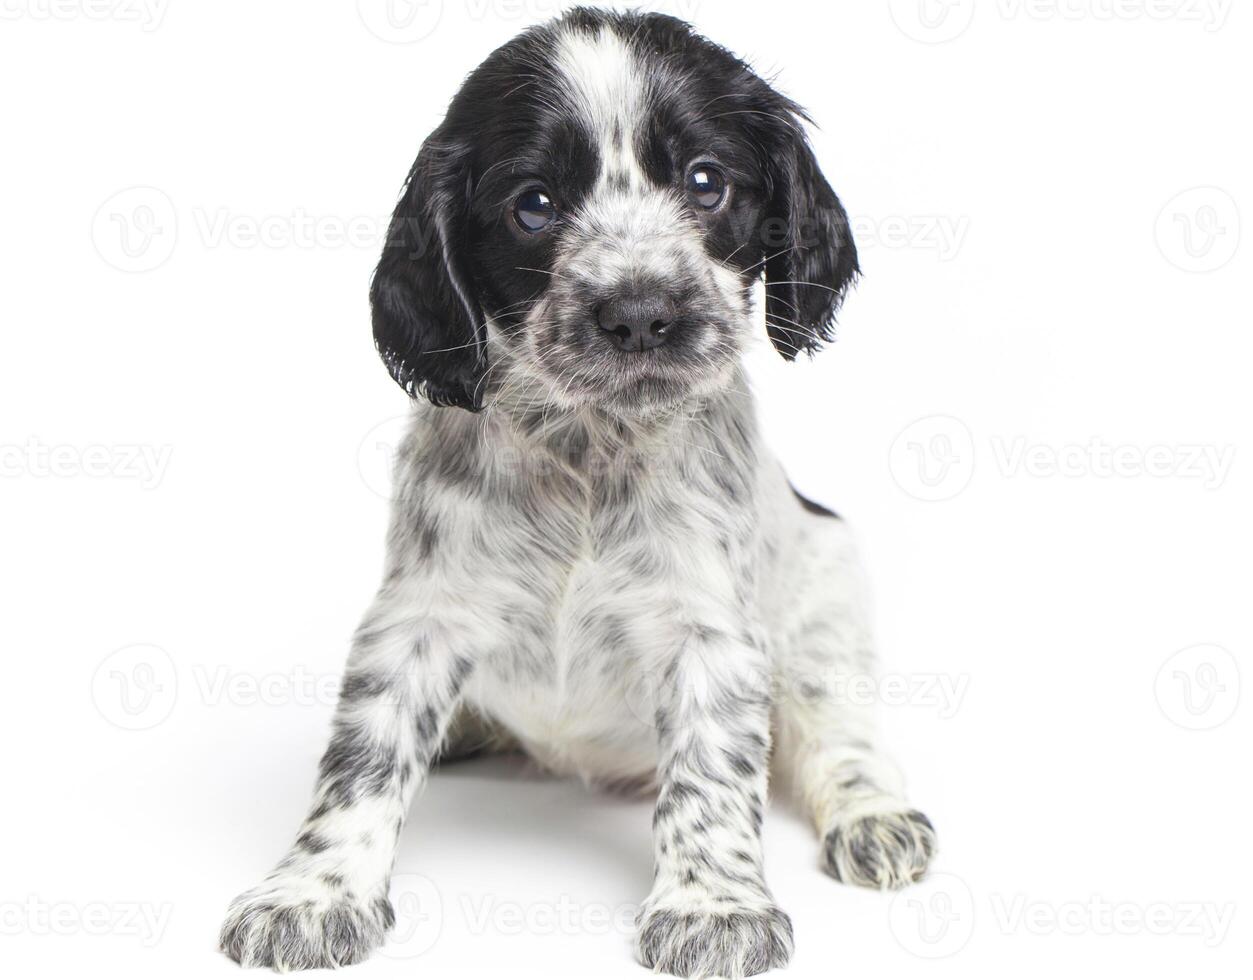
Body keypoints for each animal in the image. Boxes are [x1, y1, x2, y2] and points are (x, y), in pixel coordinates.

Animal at [220, 9, 937, 980]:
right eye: (534, 205)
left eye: (706, 182)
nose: (639, 314)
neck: (589, 450)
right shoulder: (416, 619)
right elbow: (362, 759)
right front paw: (313, 892)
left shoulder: (709, 633)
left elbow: (711, 776)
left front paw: (712, 908)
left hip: (829, 606)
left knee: (843, 737)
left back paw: (874, 818)